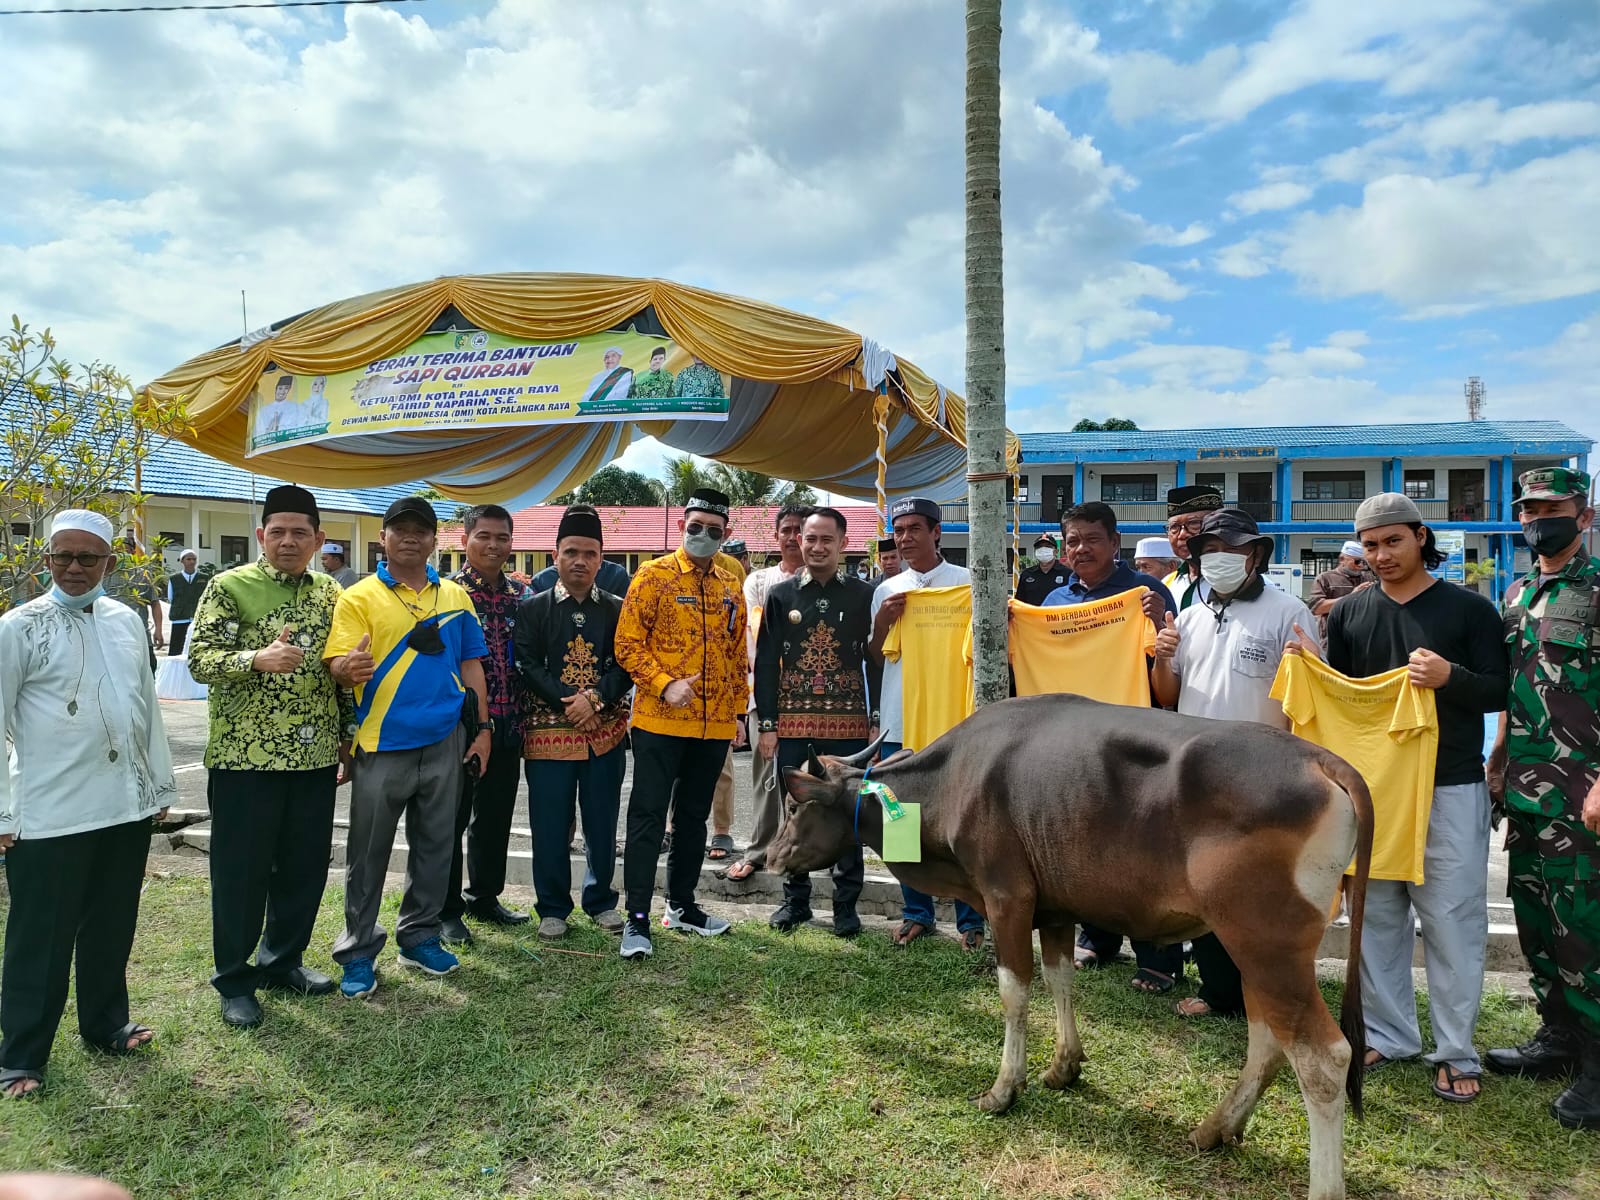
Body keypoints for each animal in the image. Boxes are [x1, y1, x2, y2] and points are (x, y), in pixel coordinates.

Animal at [766, 693, 1373, 1200]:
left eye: (794, 808)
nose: (768, 856)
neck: (955, 780)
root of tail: (1320, 760)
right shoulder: (1054, 910)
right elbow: (1061, 979)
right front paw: (1064, 1066)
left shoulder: (1006, 898)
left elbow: (1014, 993)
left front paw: (1004, 1089)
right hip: (1254, 950)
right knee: (1268, 1039)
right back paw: (1216, 1128)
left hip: (1268, 945)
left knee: (1323, 1057)